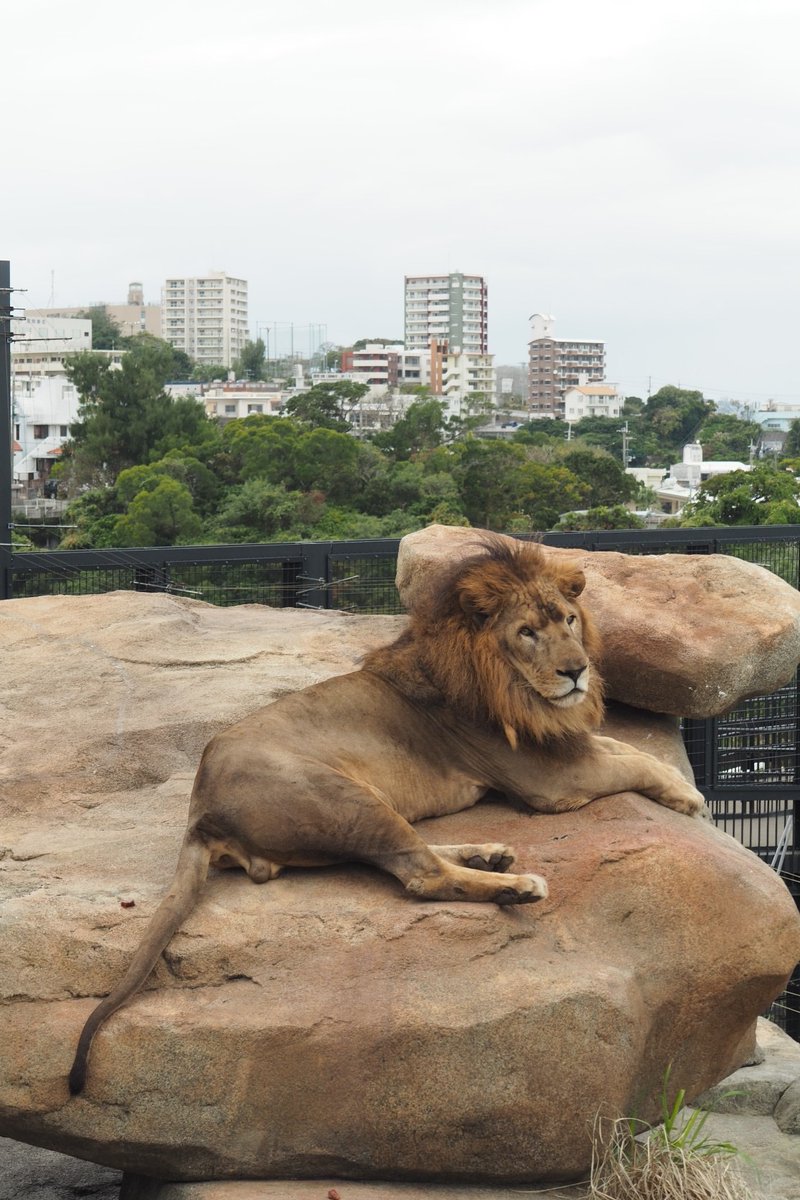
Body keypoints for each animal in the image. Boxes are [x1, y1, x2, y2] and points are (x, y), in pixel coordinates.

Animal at [70, 540, 705, 1094]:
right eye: (527, 632)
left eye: (569, 620)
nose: (577, 671)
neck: (509, 684)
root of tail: (200, 807)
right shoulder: (546, 781)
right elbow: (630, 761)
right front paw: (687, 796)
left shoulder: (560, 745)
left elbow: (626, 750)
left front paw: (678, 788)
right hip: (348, 798)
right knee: (420, 874)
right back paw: (518, 886)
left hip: (367, 808)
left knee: (414, 855)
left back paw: (491, 854)